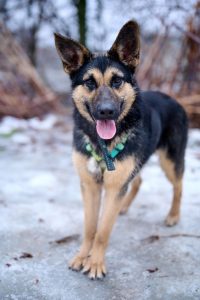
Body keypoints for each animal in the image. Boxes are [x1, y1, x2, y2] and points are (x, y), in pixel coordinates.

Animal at [54, 20, 188, 278]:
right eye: (89, 82)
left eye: (117, 81)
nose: (106, 111)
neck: (101, 144)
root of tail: (174, 99)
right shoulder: (90, 185)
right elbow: (90, 227)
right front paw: (82, 256)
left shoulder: (114, 185)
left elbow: (103, 230)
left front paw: (95, 263)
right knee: (137, 181)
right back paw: (125, 207)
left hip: (169, 161)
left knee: (178, 186)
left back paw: (174, 215)